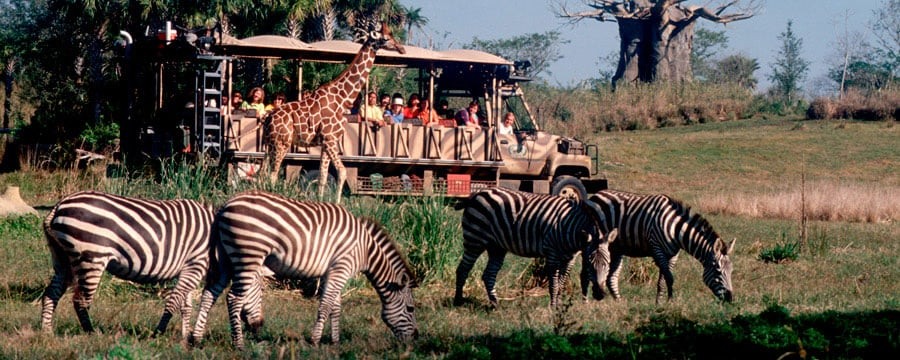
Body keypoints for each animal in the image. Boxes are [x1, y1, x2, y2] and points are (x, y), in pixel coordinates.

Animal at [40, 190, 214, 338]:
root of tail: (58, 205)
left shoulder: (188, 268)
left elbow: (186, 306)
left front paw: (184, 337)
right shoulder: (195, 265)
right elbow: (175, 302)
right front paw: (158, 334)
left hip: (62, 259)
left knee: (51, 293)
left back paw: (47, 332)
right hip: (91, 257)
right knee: (80, 300)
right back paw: (91, 332)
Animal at [190, 191, 418, 348]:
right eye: (411, 309)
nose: (415, 339)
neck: (366, 249)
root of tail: (225, 206)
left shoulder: (331, 271)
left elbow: (335, 306)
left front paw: (335, 341)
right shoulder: (342, 267)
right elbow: (326, 305)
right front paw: (315, 340)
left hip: (226, 259)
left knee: (209, 294)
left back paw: (196, 339)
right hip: (247, 255)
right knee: (233, 299)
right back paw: (239, 344)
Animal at [264, 20, 404, 202]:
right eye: (386, 38)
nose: (402, 49)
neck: (343, 99)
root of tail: (268, 119)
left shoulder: (325, 143)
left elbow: (323, 176)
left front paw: (320, 203)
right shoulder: (330, 139)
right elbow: (342, 172)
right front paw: (337, 204)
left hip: (269, 144)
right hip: (282, 143)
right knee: (273, 174)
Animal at [454, 187, 616, 308]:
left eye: (608, 263)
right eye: (589, 264)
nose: (600, 295)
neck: (572, 230)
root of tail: (476, 194)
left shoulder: (570, 258)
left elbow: (562, 283)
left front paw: (559, 306)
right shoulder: (551, 251)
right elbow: (554, 283)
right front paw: (553, 307)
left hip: (496, 247)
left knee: (489, 274)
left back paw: (495, 304)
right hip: (474, 239)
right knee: (462, 269)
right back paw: (458, 300)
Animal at [588, 190, 736, 302]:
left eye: (731, 270)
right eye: (718, 270)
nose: (730, 298)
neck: (676, 230)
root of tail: (597, 194)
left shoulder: (673, 255)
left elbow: (662, 281)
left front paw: (659, 303)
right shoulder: (657, 249)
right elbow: (669, 278)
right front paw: (669, 302)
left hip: (616, 249)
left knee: (611, 278)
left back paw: (619, 303)